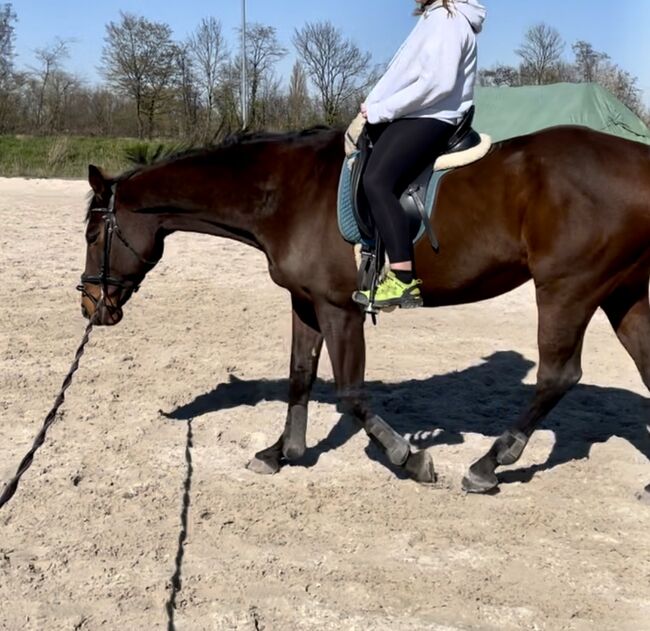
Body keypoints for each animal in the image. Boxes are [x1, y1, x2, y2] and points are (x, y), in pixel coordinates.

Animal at [79, 124, 648, 498]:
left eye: (91, 234)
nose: (90, 305)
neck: (286, 193)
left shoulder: (339, 310)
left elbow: (351, 393)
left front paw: (409, 458)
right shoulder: (306, 303)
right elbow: (300, 376)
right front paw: (282, 453)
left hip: (567, 289)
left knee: (557, 376)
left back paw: (488, 464)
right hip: (622, 294)